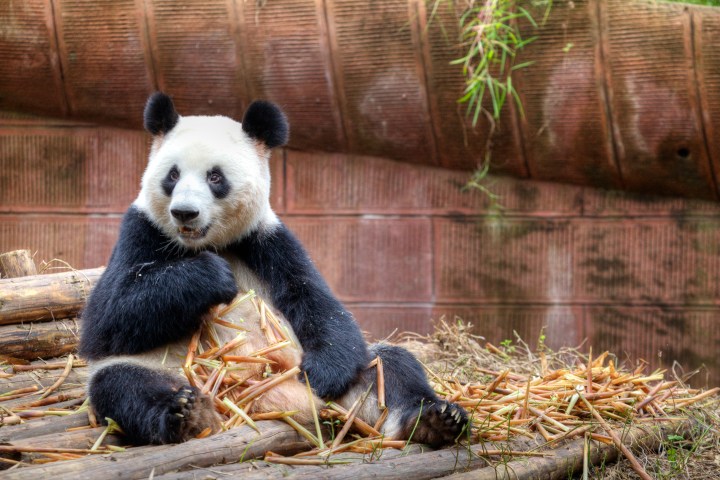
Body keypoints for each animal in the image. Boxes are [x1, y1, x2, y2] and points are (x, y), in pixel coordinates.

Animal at [79, 92, 468, 447]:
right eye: (172, 175)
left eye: (215, 177)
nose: (184, 213)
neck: (206, 244)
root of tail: (280, 404)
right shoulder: (140, 232)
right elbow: (108, 319)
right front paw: (212, 277)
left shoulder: (267, 240)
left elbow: (318, 302)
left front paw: (324, 373)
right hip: (162, 369)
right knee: (123, 386)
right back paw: (186, 414)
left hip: (354, 386)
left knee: (391, 366)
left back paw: (435, 421)